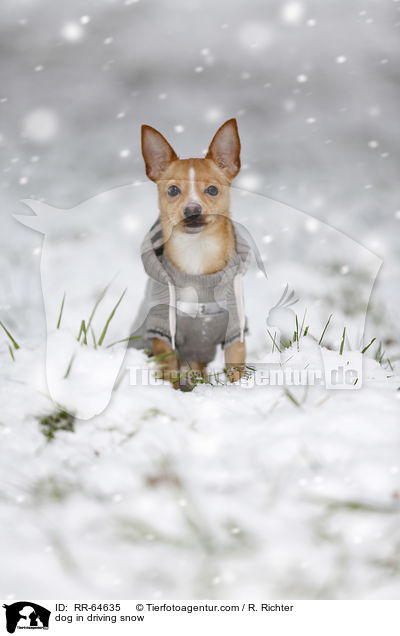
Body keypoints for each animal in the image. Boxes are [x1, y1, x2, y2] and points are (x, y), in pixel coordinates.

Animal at [131, 118, 250, 388]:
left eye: (213, 190)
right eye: (173, 191)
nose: (192, 210)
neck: (197, 254)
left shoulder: (235, 328)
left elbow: (236, 364)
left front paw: (238, 388)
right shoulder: (162, 329)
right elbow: (167, 368)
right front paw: (169, 390)